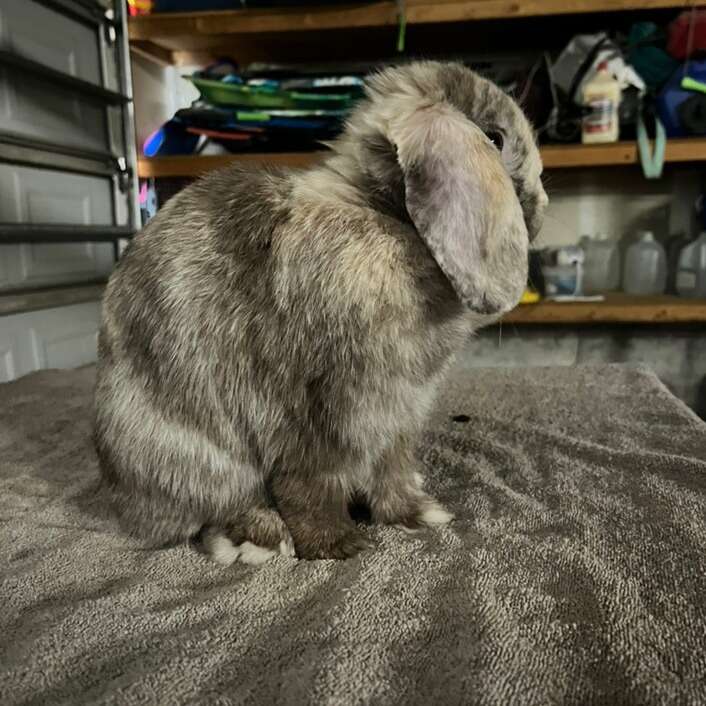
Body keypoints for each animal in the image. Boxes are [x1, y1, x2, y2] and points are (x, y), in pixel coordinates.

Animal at [92, 63, 544, 564]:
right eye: (495, 138)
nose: (542, 207)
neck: (386, 217)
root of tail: (117, 487)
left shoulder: (401, 415)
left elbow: (392, 470)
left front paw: (417, 514)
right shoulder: (325, 410)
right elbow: (311, 484)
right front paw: (338, 545)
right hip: (198, 453)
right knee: (216, 505)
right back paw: (256, 539)